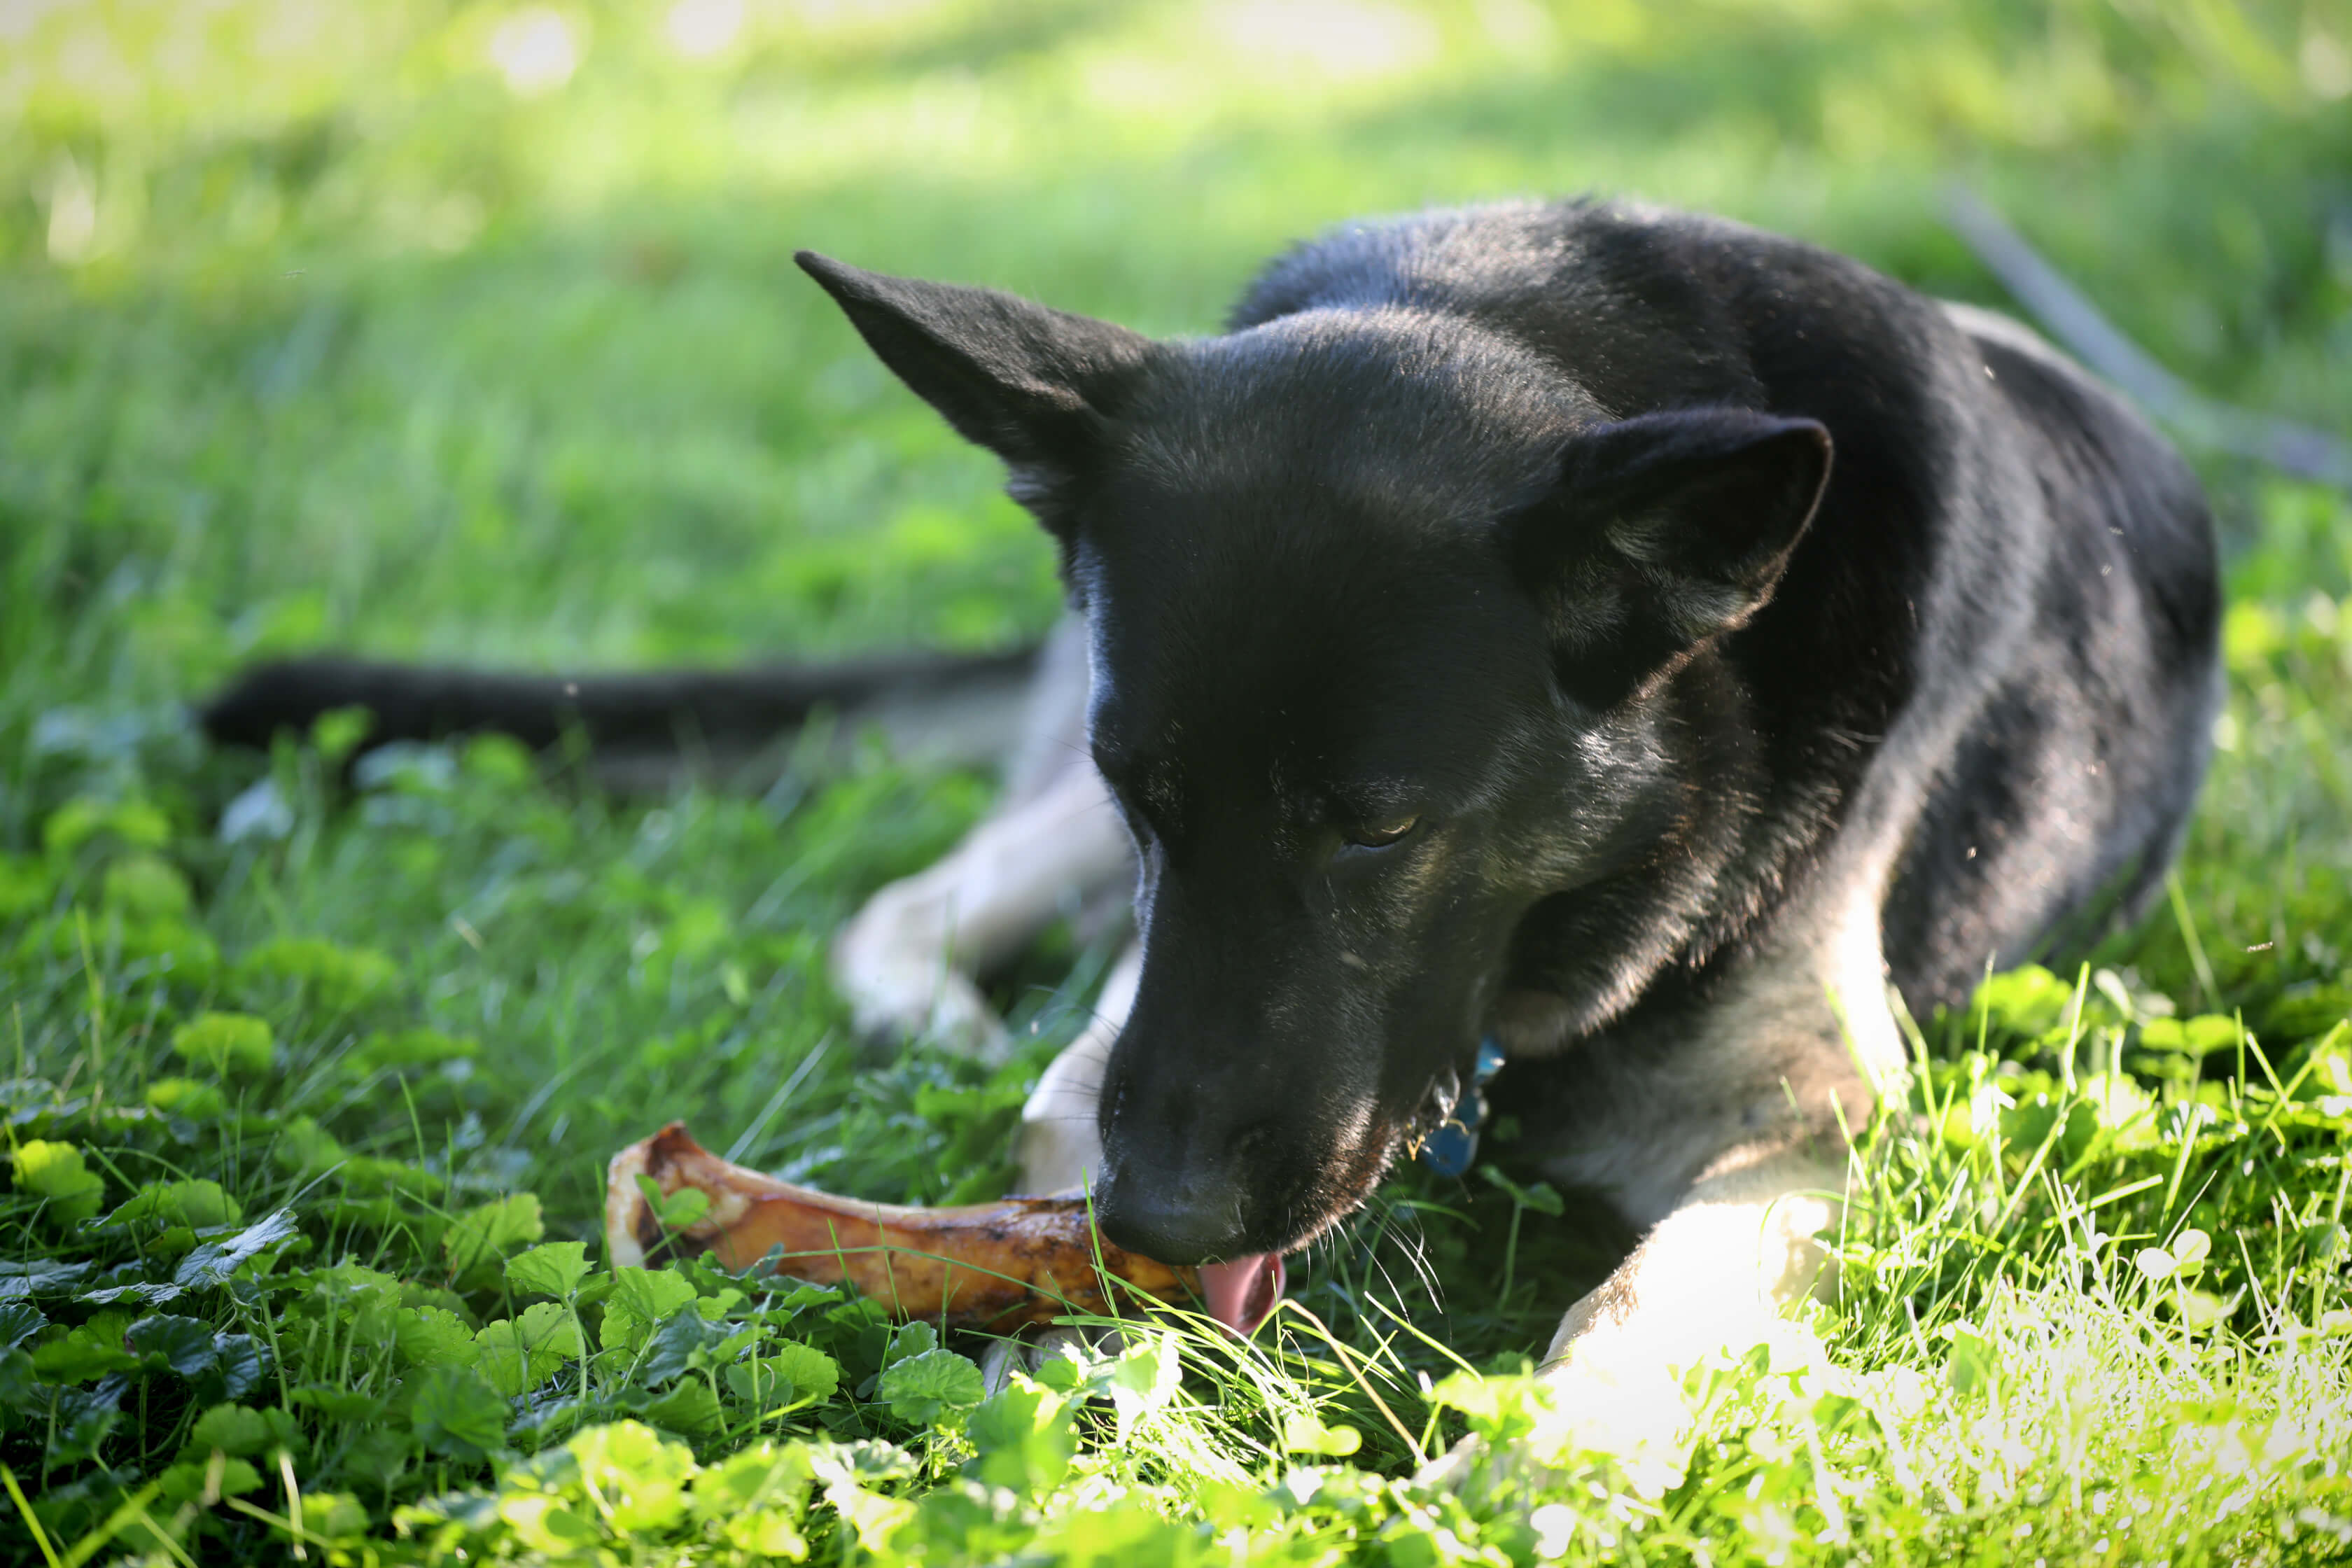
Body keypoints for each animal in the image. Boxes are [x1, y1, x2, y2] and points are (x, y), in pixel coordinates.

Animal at [206, 196, 2220, 1476]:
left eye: (1381, 827)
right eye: (1149, 791)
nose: (1161, 1212)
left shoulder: (1819, 1121)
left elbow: (1652, 1300)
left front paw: (1547, 1461)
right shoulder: (1131, 939)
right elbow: (1070, 1108)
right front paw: (1083, 1364)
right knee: (911, 902)